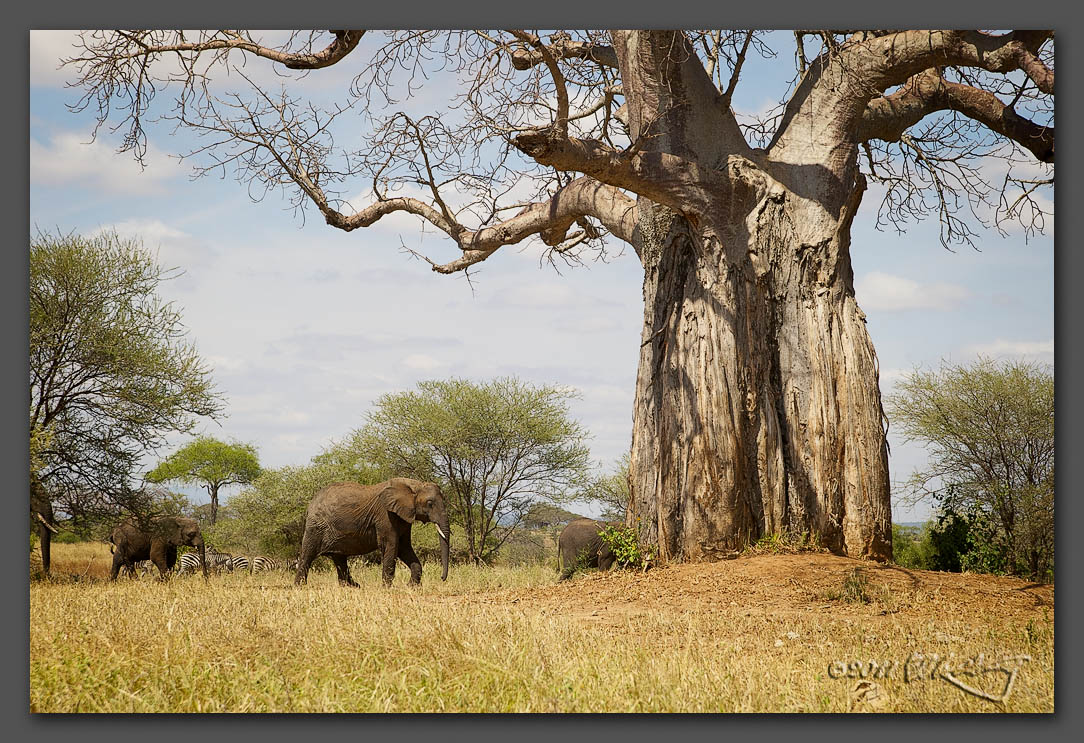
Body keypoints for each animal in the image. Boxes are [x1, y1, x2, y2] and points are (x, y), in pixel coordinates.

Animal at [292, 477, 448, 590]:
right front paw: (387, 588)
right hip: (316, 527)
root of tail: (310, 505)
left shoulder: (403, 517)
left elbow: (404, 547)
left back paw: (352, 586)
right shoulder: (385, 516)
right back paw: (299, 587)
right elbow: (392, 545)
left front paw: (412, 587)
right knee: (308, 555)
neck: (413, 484)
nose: (442, 578)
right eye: (430, 503)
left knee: (339, 558)